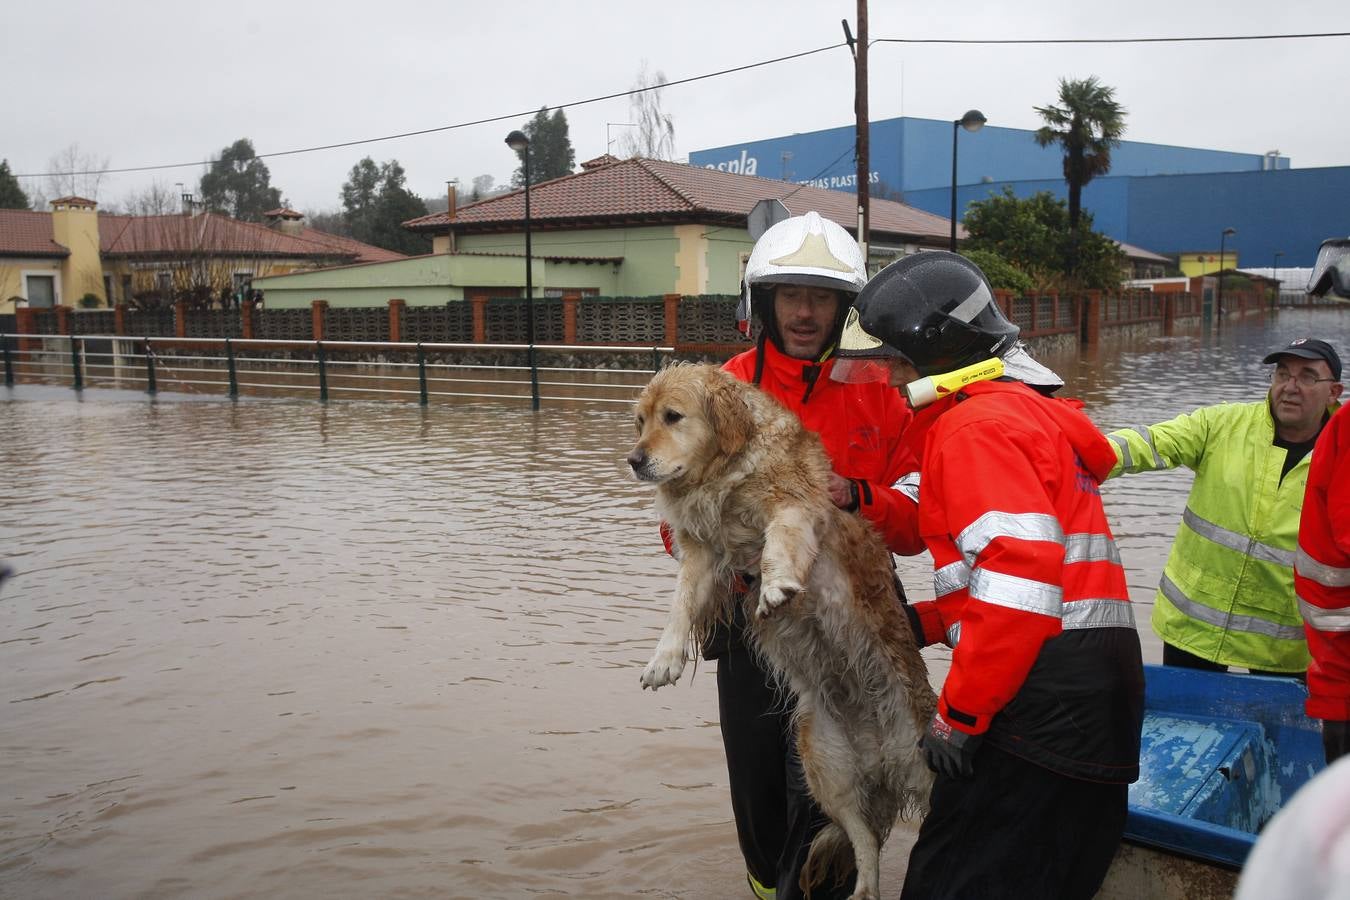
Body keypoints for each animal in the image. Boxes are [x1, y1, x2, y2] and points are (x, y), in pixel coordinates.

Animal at [626, 361, 934, 895]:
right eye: (641, 421)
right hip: (825, 767)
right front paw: (663, 660)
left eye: (673, 416)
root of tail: (885, 762)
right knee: (864, 841)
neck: (723, 474)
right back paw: (864, 891)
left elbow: (778, 540)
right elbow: (679, 605)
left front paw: (775, 586)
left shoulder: (793, 500)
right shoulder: (700, 551)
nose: (634, 460)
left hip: (927, 766)